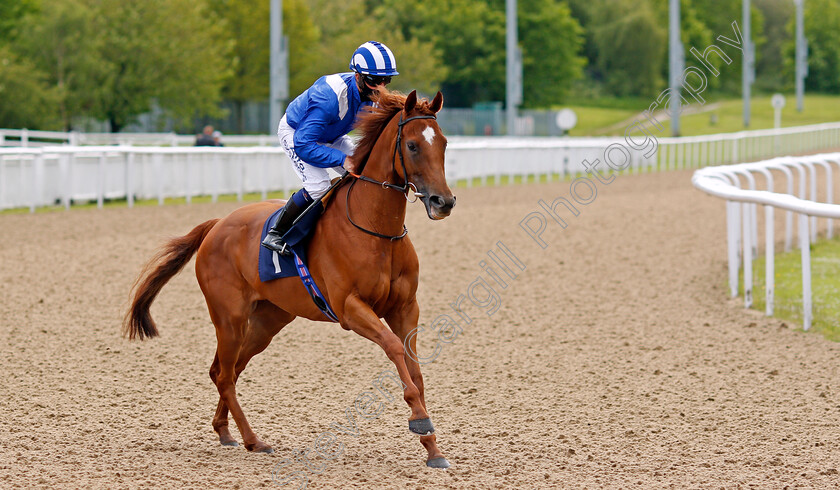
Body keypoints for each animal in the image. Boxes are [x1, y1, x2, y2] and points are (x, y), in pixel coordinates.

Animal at [124, 90, 456, 468]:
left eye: (443, 143)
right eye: (412, 145)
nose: (443, 201)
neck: (377, 230)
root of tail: (217, 224)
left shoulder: (405, 307)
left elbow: (414, 366)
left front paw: (433, 448)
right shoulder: (350, 308)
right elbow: (393, 349)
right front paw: (420, 421)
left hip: (268, 319)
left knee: (227, 370)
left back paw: (225, 432)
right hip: (229, 316)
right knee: (223, 374)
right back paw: (254, 439)